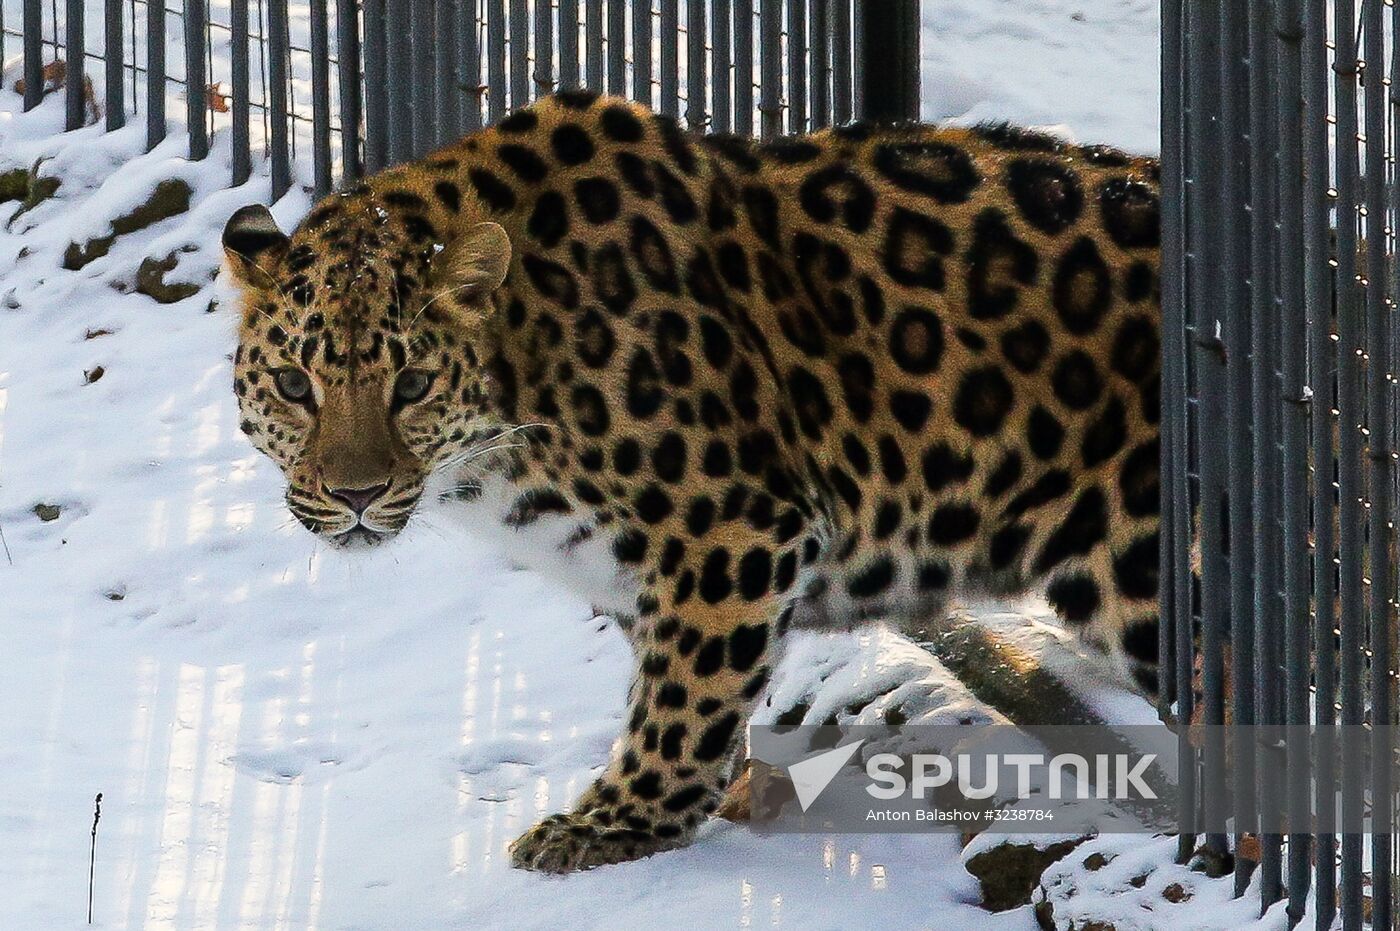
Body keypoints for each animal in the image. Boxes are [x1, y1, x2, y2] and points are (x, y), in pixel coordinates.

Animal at [218, 87, 1159, 873]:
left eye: (411, 384)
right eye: (294, 384)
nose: (355, 495)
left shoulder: (737, 531)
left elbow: (682, 698)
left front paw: (614, 824)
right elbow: (687, 686)